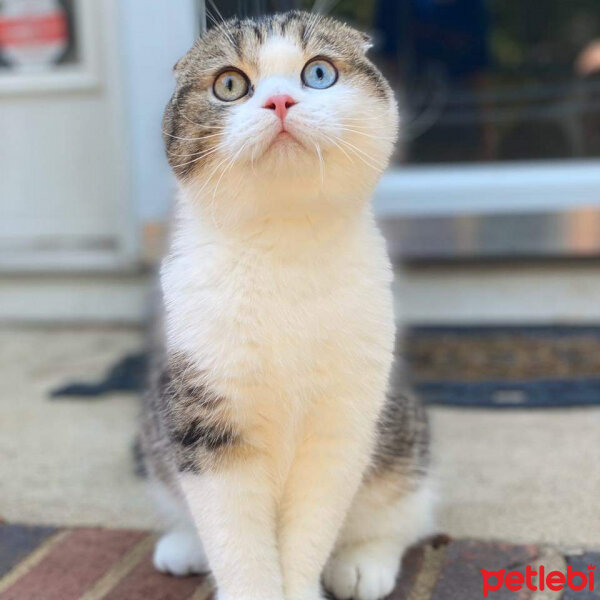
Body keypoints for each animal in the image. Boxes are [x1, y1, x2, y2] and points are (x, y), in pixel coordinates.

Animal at [140, 10, 432, 600]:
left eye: (318, 74)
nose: (279, 101)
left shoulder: (343, 423)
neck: (282, 245)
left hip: (403, 437)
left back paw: (365, 562)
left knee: (405, 515)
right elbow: (236, 542)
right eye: (230, 84)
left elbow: (310, 531)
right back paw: (183, 545)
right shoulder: (206, 420)